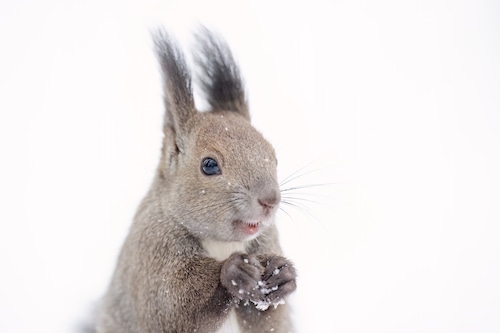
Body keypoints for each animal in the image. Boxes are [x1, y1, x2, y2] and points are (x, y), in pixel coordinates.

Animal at [97, 26, 296, 332]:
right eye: (209, 165)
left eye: (274, 158)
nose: (269, 200)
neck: (222, 243)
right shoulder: (150, 257)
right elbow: (174, 308)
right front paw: (233, 271)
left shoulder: (265, 241)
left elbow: (270, 321)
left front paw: (283, 275)